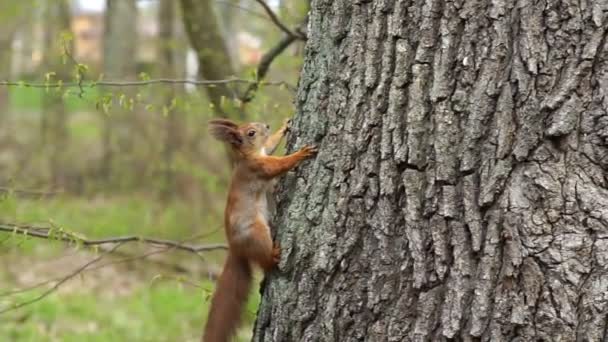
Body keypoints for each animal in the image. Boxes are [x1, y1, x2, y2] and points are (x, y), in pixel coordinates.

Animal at [204, 118, 318, 342]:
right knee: (265, 262)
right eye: (251, 133)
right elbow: (279, 164)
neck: (248, 156)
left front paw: (284, 126)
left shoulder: (264, 152)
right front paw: (300, 153)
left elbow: (271, 144)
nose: (266, 125)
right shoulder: (259, 167)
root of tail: (235, 248)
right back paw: (275, 255)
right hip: (257, 232)